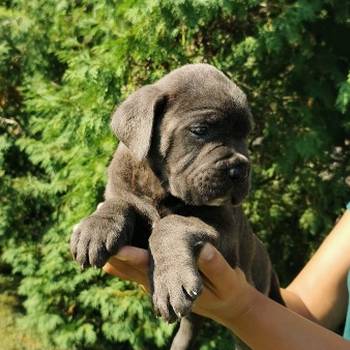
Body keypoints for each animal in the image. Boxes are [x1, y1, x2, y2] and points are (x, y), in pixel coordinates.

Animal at [69, 63, 284, 350]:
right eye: (200, 130)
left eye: (245, 135)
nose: (240, 169)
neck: (161, 188)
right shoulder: (126, 196)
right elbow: (118, 203)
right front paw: (96, 228)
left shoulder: (224, 231)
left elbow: (172, 224)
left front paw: (170, 279)